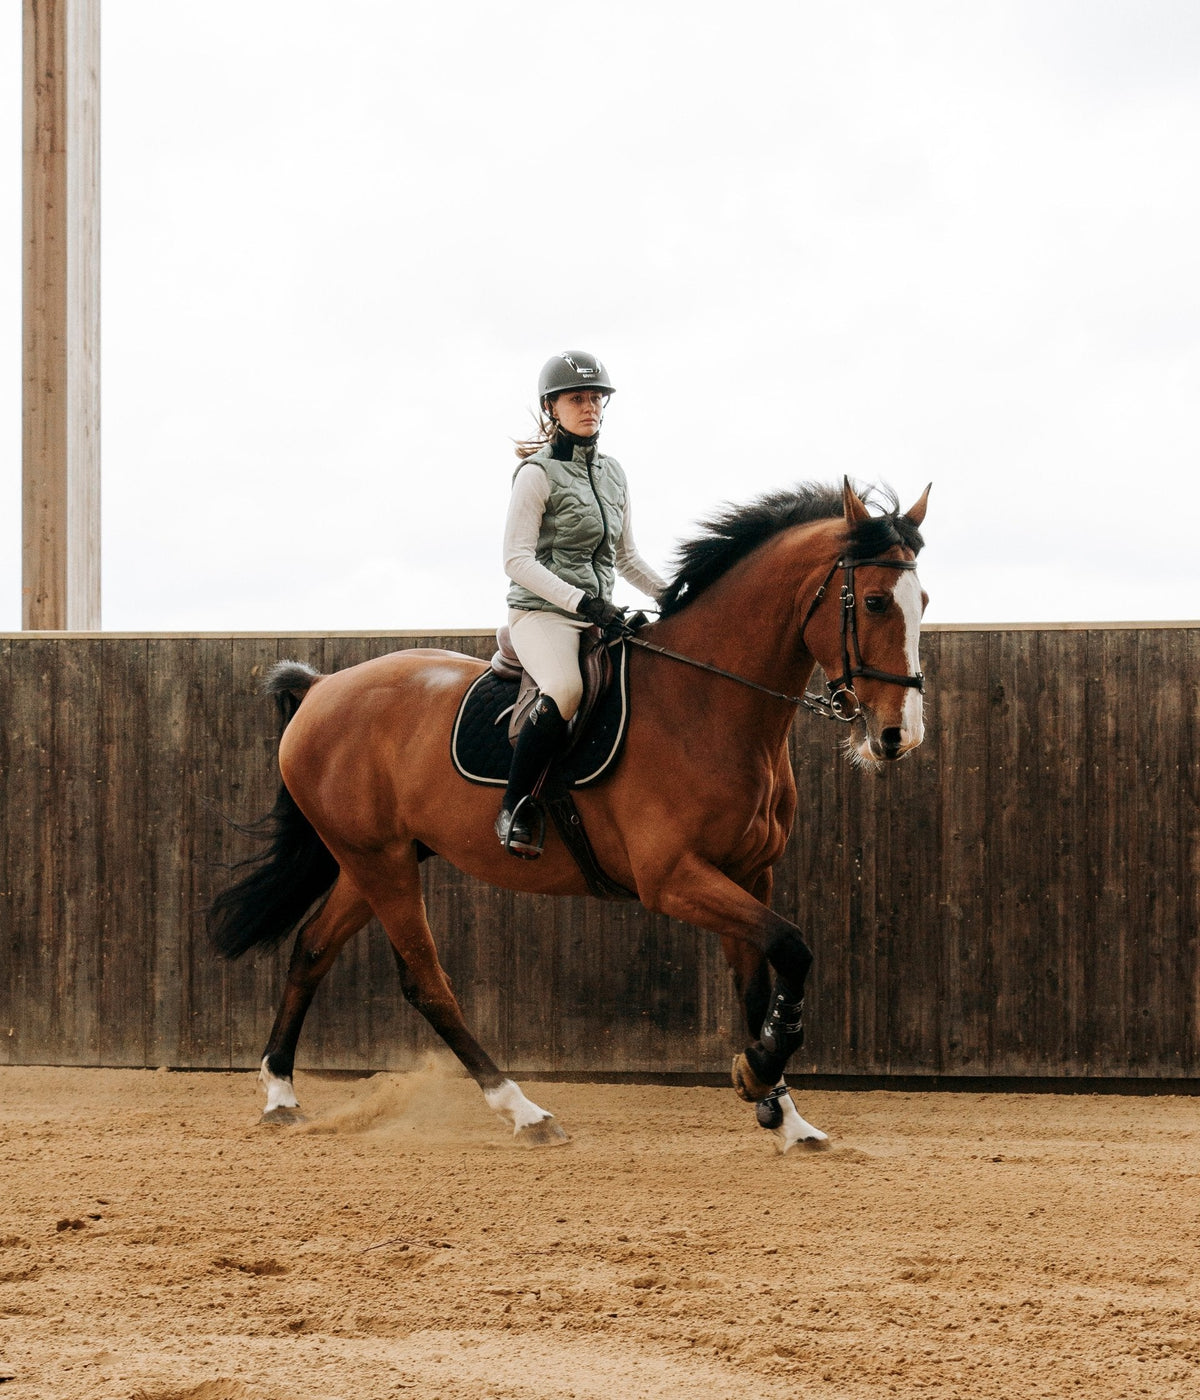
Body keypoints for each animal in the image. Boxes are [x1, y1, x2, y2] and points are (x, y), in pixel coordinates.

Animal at [209, 478, 930, 1153]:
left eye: (922, 603)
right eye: (873, 601)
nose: (899, 735)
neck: (706, 703)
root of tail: (321, 689)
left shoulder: (749, 873)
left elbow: (759, 980)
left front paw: (781, 1111)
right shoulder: (673, 878)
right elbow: (793, 947)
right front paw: (759, 1074)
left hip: (374, 860)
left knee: (312, 948)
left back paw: (280, 1095)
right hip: (379, 862)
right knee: (425, 980)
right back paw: (524, 1111)